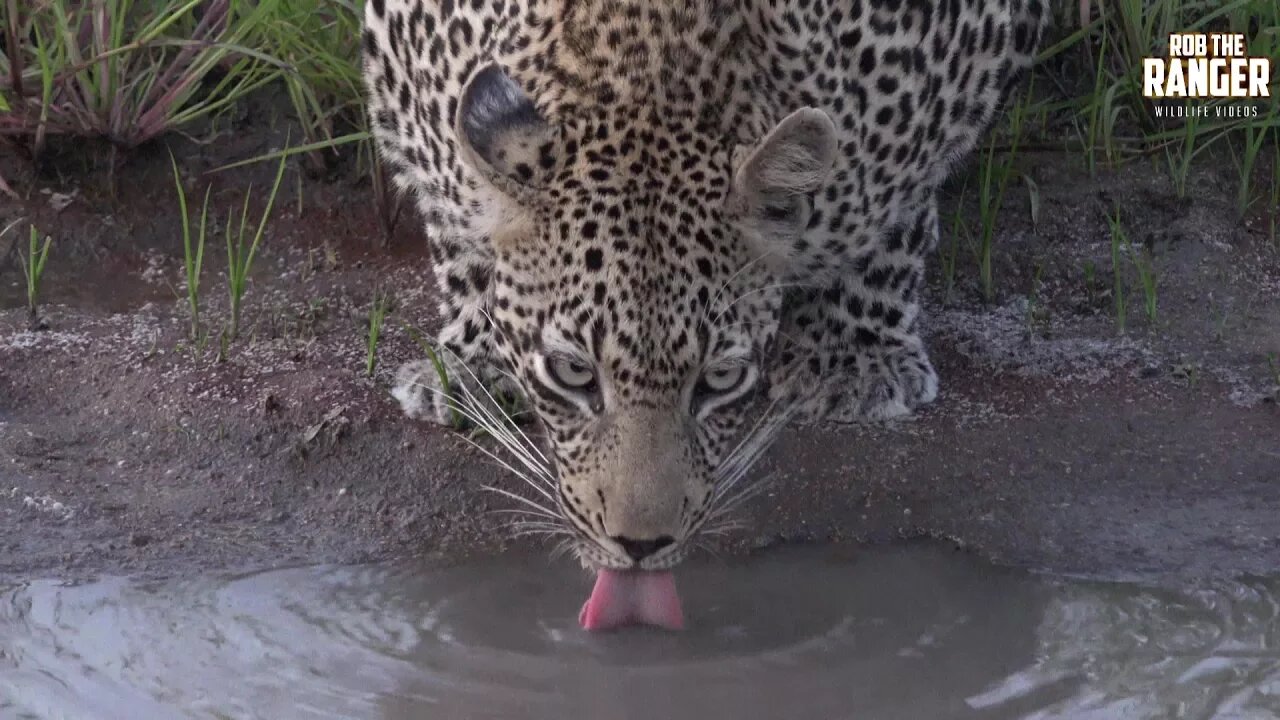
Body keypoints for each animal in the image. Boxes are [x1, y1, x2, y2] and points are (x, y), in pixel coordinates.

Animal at [366, 0, 1044, 571]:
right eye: (573, 373)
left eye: (719, 380)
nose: (640, 546)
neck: (644, 62)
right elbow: (457, 236)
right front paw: (470, 361)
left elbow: (896, 223)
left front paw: (855, 357)